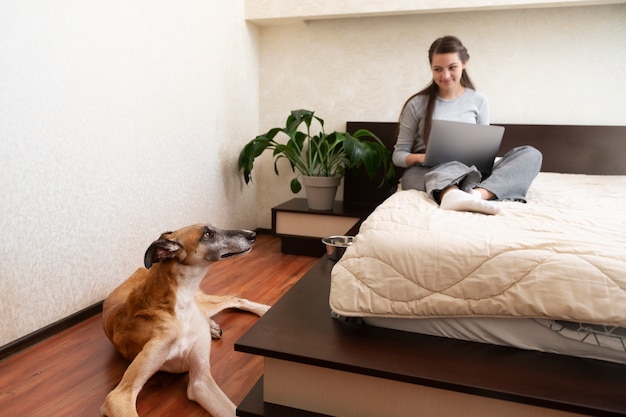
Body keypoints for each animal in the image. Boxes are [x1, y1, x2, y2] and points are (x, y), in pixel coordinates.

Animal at [100, 224, 268, 416]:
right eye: (207, 234)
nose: (253, 235)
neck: (179, 309)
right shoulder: (119, 395)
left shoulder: (201, 378)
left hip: (203, 304)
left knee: (232, 299)